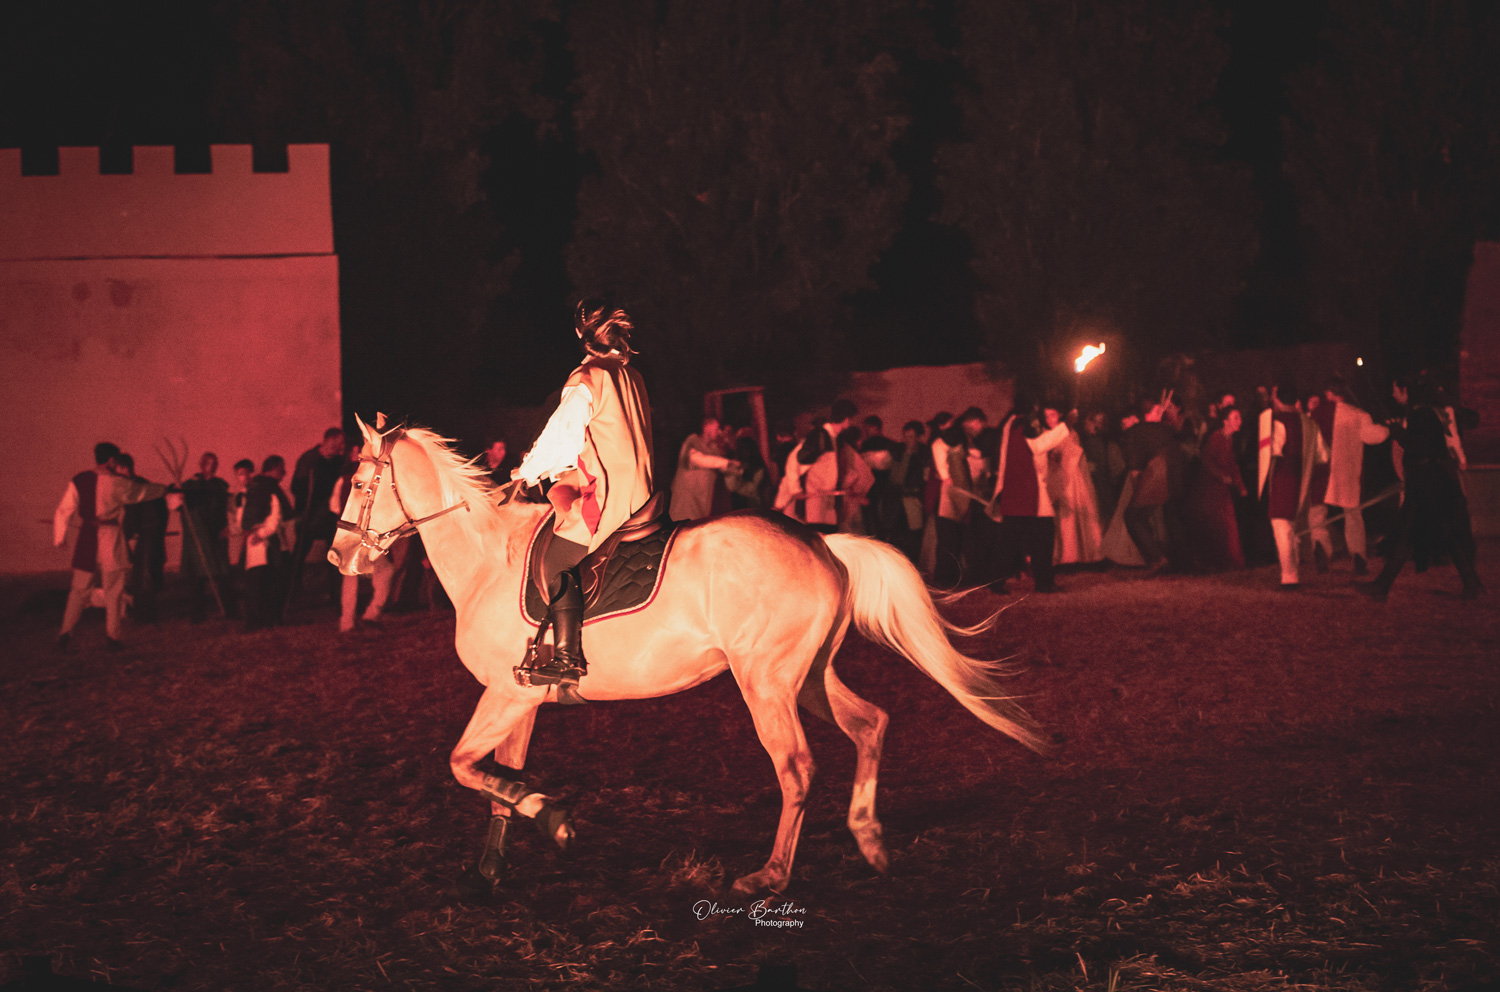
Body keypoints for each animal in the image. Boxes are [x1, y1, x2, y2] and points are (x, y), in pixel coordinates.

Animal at [329, 415, 1044, 896]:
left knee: (796, 766)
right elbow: (498, 779)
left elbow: (464, 767)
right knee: (870, 724)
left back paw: (771, 876)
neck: (487, 561)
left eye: (361, 480)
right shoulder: (521, 697)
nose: (339, 557)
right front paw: (495, 864)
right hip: (808, 676)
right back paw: (868, 839)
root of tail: (822, 543)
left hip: (766, 682)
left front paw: (552, 819)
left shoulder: (507, 694)